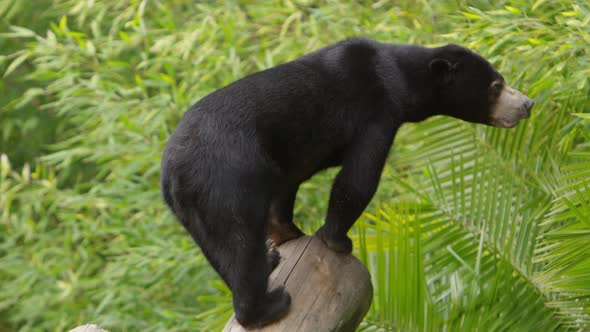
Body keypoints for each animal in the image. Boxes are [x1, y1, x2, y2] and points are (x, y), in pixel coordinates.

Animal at [160, 37, 536, 328]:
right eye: (496, 86)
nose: (528, 104)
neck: (402, 79)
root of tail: (172, 171)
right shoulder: (376, 112)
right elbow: (358, 178)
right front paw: (337, 241)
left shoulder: (289, 155)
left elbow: (287, 189)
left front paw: (289, 234)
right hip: (227, 180)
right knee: (239, 244)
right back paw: (269, 305)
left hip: (195, 209)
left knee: (221, 250)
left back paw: (270, 261)